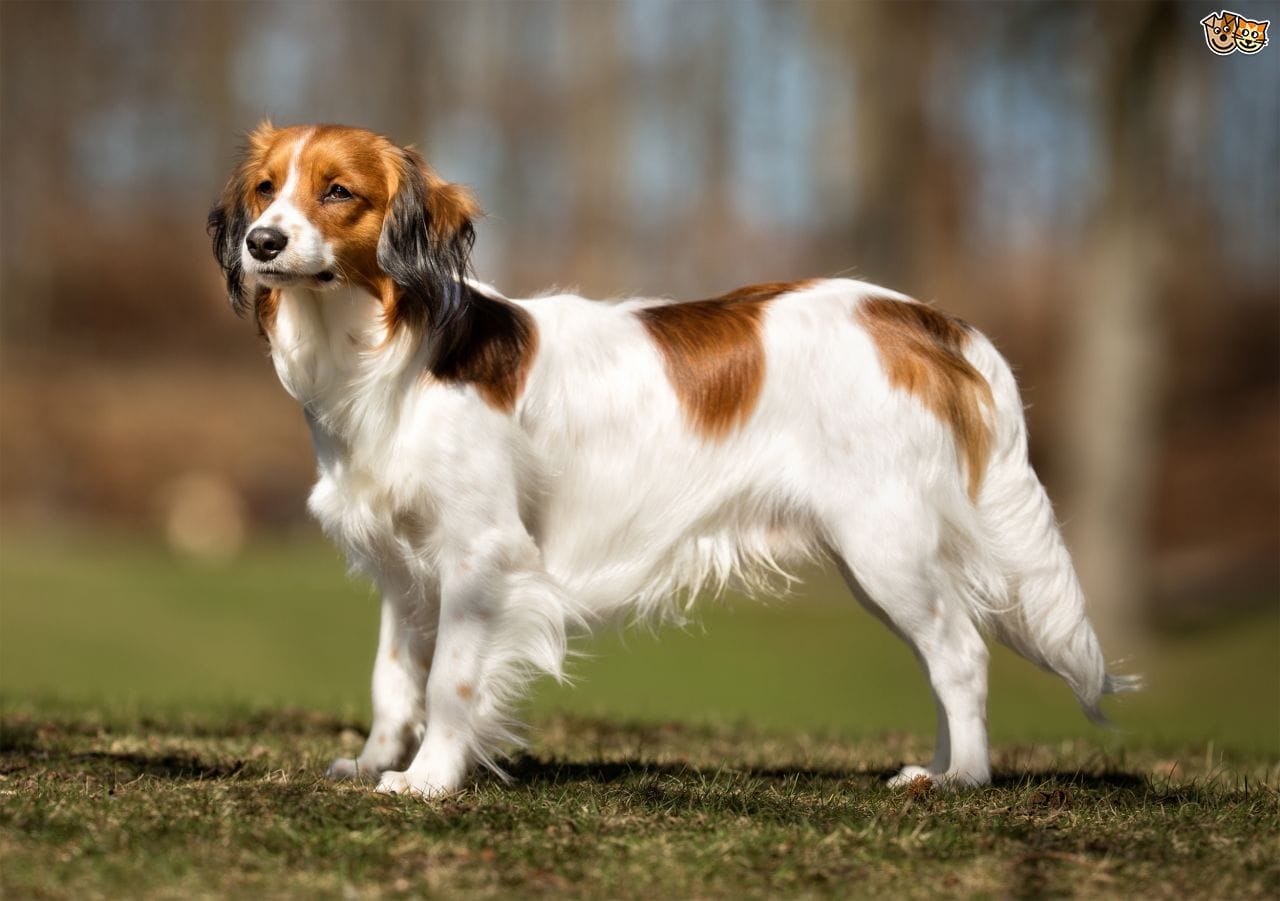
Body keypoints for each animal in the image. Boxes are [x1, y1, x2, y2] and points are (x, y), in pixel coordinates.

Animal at [209, 122, 1141, 798]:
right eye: (266, 188)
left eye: (338, 192)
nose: (261, 242)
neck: (389, 354)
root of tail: (918, 317)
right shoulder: (406, 566)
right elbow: (394, 677)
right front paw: (374, 760)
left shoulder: (480, 556)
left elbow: (450, 685)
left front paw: (427, 780)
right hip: (881, 561)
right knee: (944, 653)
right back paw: (940, 768)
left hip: (886, 547)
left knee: (962, 653)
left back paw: (965, 780)